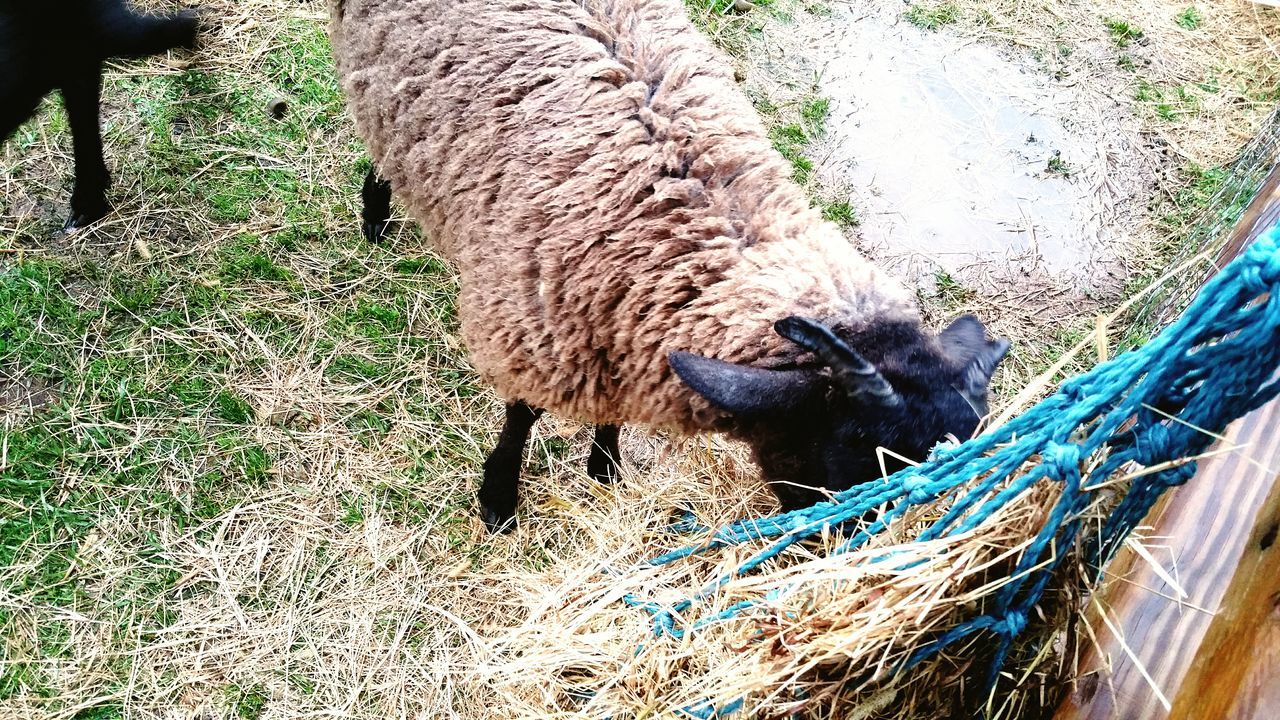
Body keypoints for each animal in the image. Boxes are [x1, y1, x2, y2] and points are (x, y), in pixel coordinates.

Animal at [327, 0, 1008, 530]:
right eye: (859, 447)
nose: (828, 542)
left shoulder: (613, 329)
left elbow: (609, 412)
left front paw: (604, 467)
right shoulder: (533, 324)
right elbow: (521, 415)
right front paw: (499, 500)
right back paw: (375, 215)